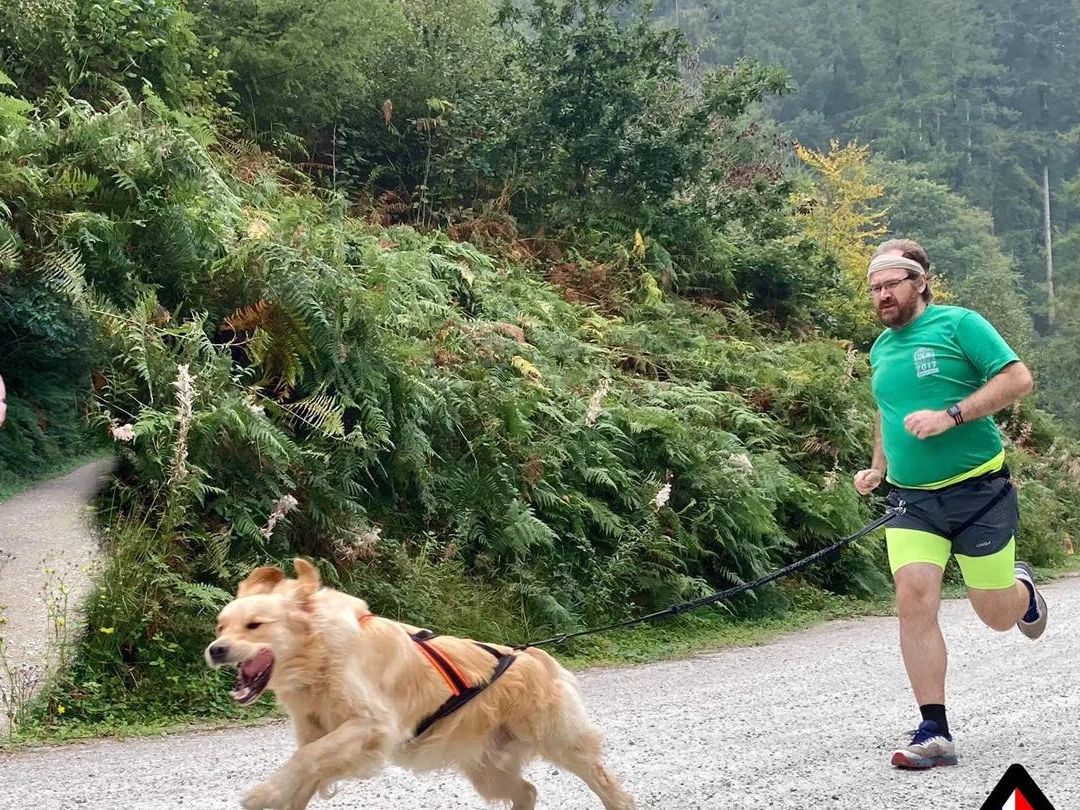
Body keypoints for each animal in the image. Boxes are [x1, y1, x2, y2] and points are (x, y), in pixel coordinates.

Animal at [206, 561, 635, 810]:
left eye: (255, 625)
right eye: (220, 626)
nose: (215, 649)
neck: (320, 657)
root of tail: (540, 658)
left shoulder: (373, 726)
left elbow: (304, 760)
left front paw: (262, 795)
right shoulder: (322, 735)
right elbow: (305, 769)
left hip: (561, 742)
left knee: (605, 782)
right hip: (486, 768)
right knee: (526, 791)